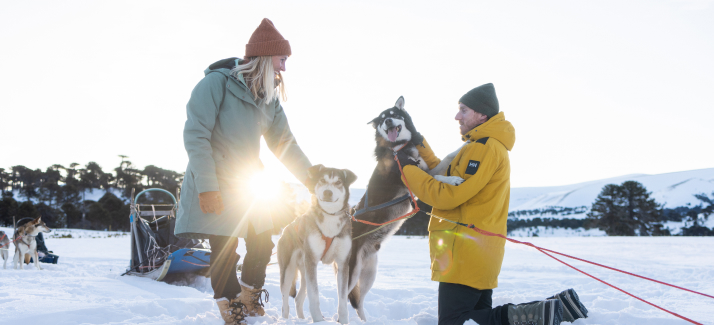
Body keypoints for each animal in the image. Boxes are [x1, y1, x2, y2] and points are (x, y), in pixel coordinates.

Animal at [276, 165, 356, 324]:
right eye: (322, 180)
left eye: (338, 182)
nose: (327, 192)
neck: (330, 217)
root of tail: (286, 228)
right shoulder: (312, 260)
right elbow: (314, 296)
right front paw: (319, 320)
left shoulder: (342, 263)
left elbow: (343, 300)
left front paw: (343, 320)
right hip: (289, 270)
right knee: (285, 302)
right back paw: (285, 319)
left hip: (305, 270)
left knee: (298, 299)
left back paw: (301, 318)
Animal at [348, 96, 464, 318]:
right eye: (382, 119)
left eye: (393, 115)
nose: (387, 122)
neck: (398, 149)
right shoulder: (414, 178)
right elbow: (437, 178)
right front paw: (452, 179)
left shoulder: (424, 170)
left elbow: (445, 159)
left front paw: (464, 145)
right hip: (353, 270)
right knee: (344, 299)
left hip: (369, 272)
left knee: (358, 302)